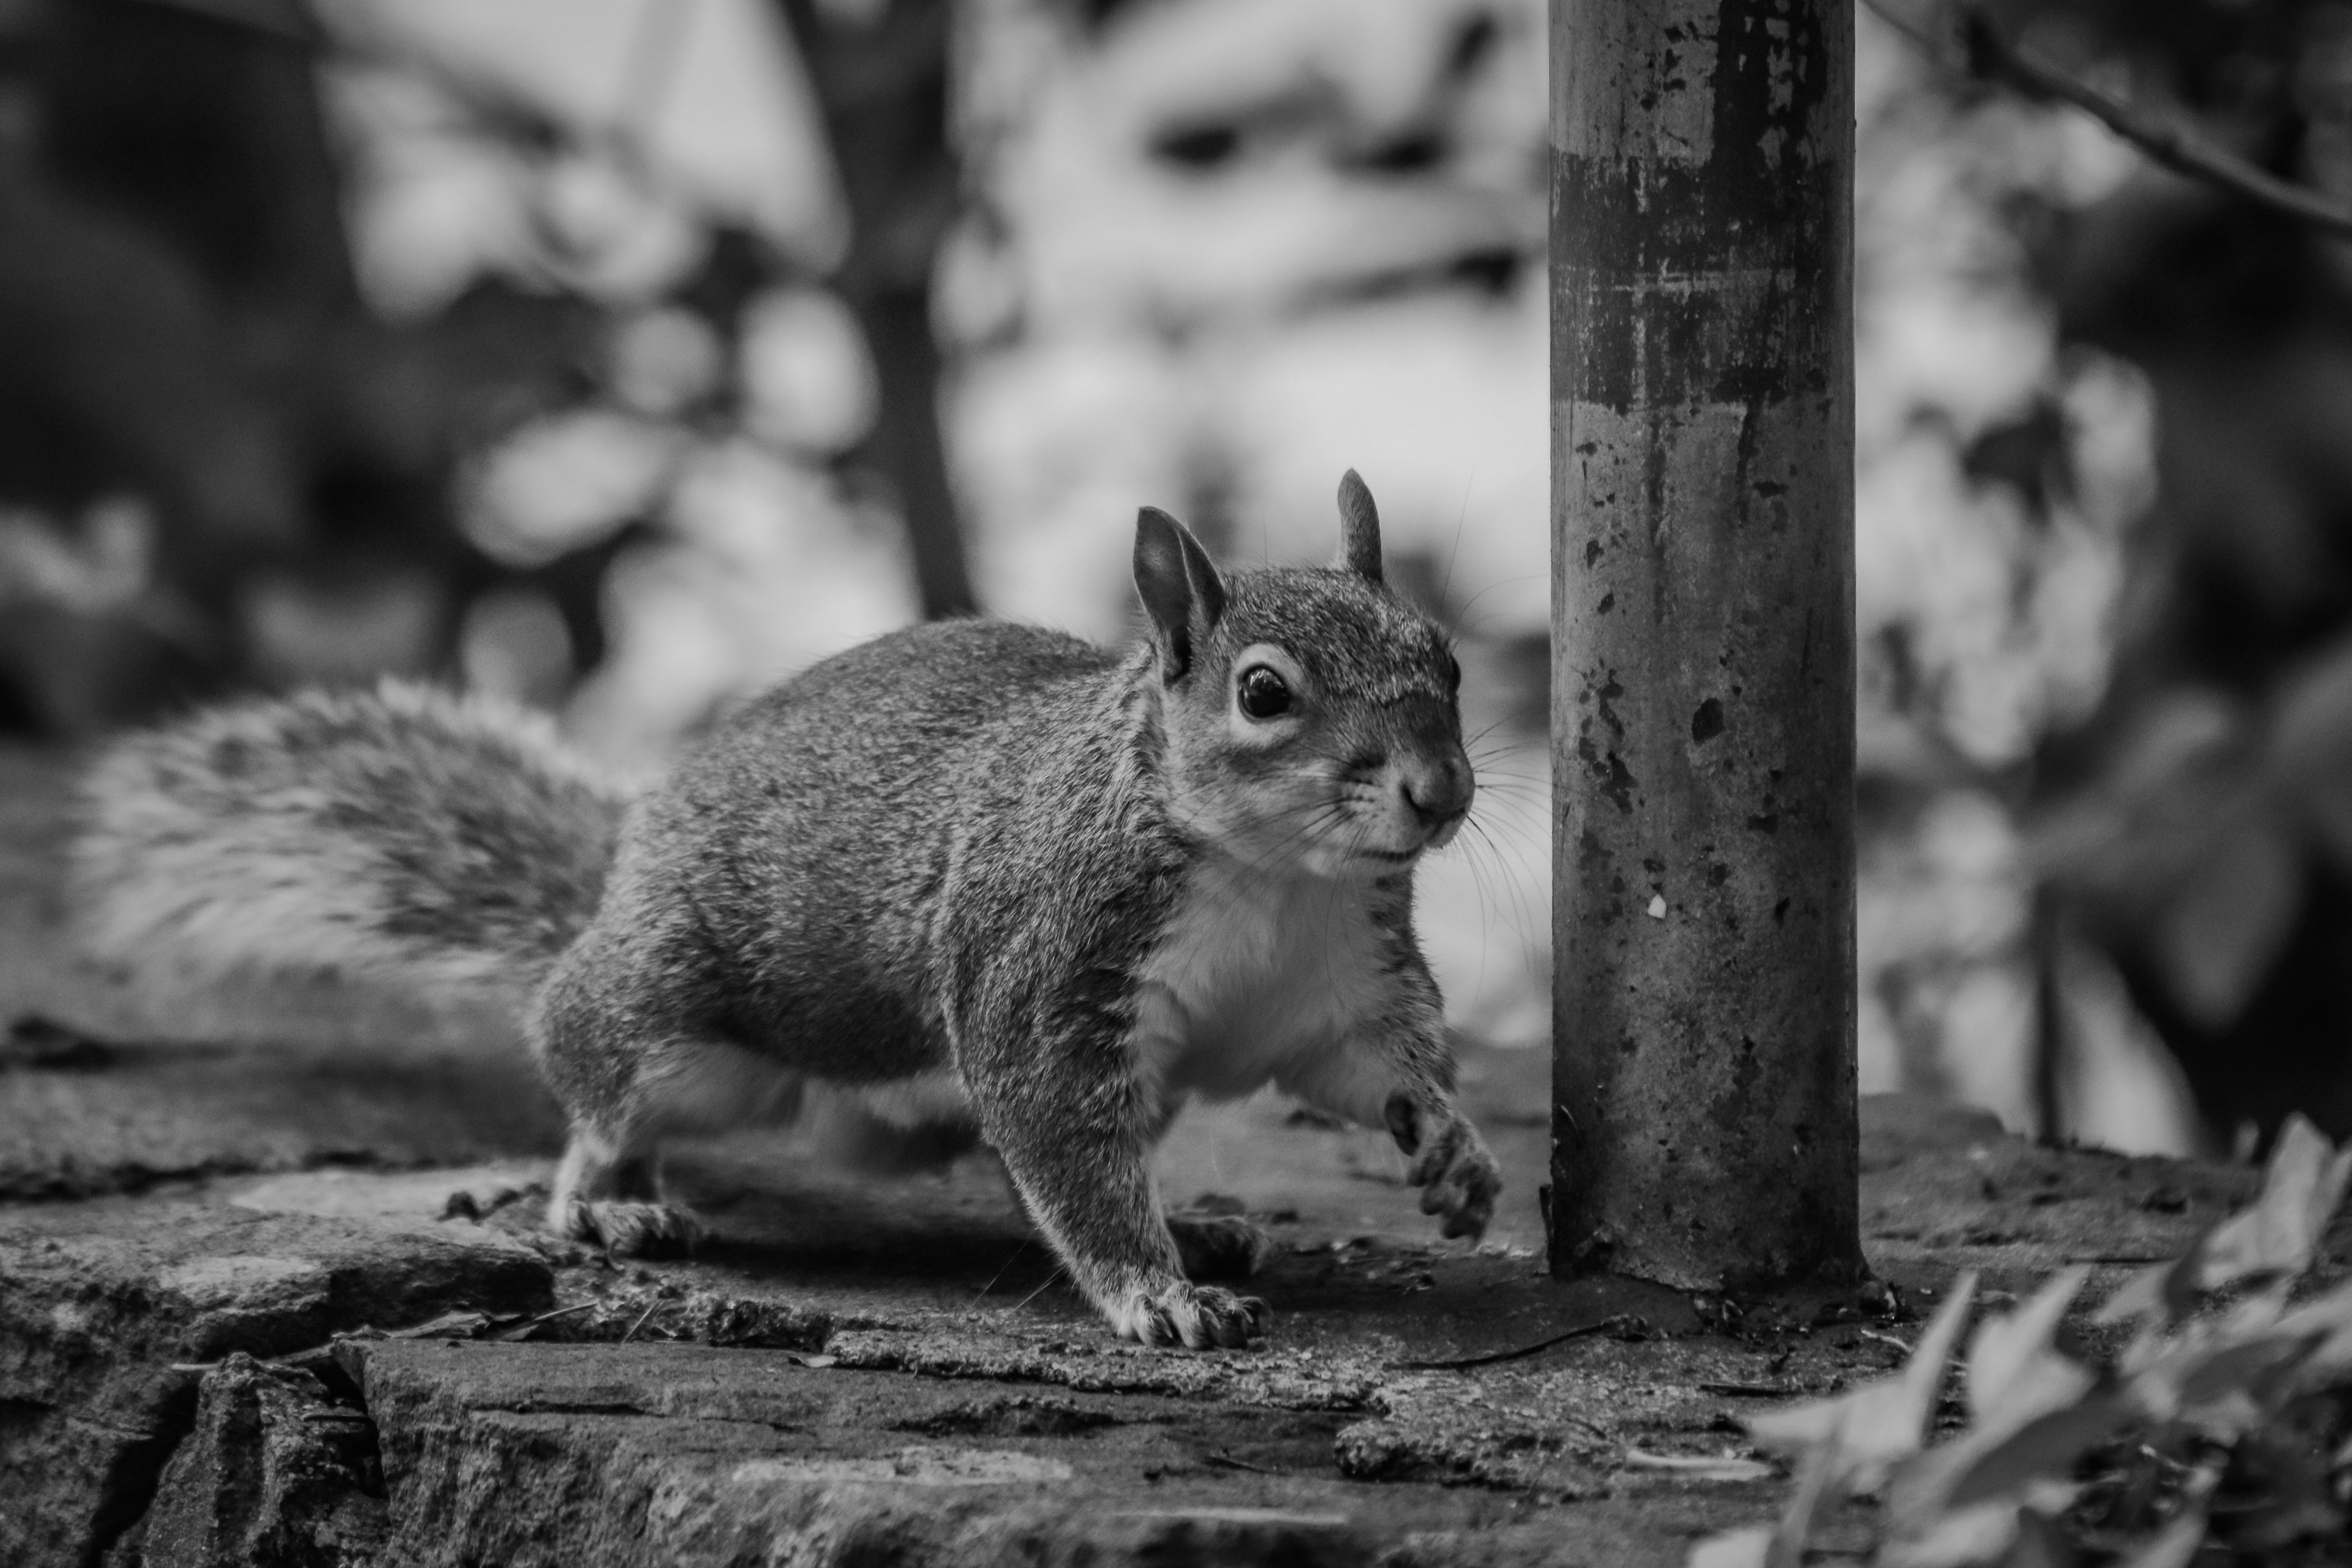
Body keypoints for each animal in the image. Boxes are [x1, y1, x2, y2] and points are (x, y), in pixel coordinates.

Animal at [71, 471, 1501, 1349]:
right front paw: (1158, 1294)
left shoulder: (1338, 976)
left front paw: (1453, 1149)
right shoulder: (1044, 964)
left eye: (1445, 660)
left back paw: (1198, 1218)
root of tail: (618, 873)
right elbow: (1064, 1147)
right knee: (593, 1096)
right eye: (1263, 692)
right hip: (667, 1024)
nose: (1438, 793)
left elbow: (1371, 1062)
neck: (1273, 876)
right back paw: (607, 1204)